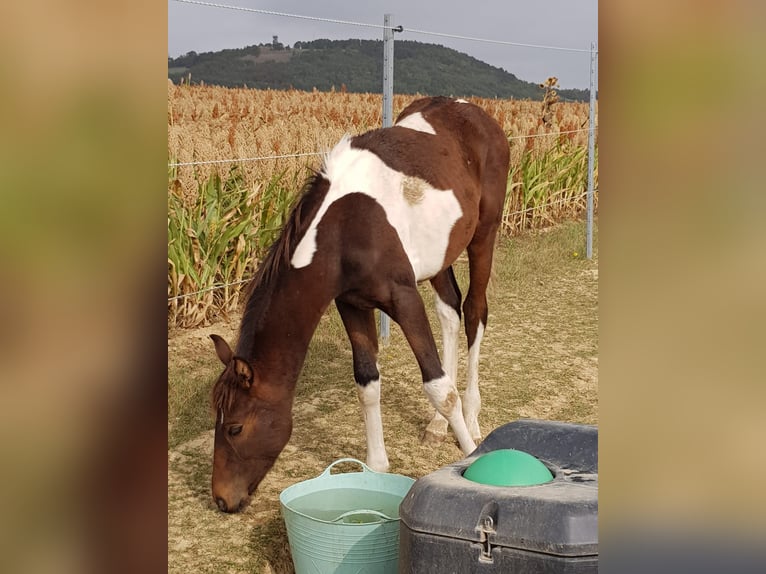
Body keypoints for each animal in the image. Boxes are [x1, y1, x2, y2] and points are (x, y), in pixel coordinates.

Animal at [209, 96, 510, 513]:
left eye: (235, 427)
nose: (221, 498)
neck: (342, 230)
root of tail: (475, 113)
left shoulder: (404, 299)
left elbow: (439, 387)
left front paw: (470, 457)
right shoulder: (350, 304)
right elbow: (367, 382)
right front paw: (376, 468)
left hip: (484, 235)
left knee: (474, 314)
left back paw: (473, 418)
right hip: (441, 254)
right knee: (449, 310)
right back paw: (436, 426)